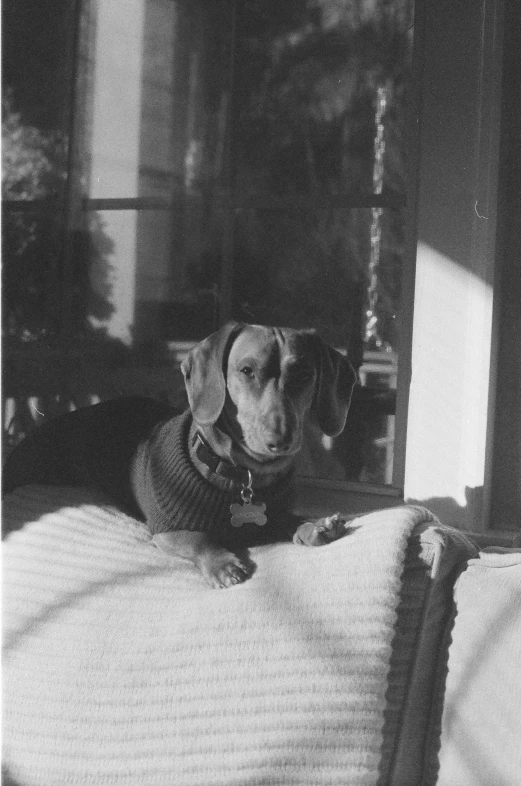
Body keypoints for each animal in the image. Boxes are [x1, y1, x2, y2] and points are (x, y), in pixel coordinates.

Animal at [2, 322, 356, 584]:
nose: (280, 440)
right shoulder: (167, 530)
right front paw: (223, 563)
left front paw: (315, 525)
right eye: (246, 370)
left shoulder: (271, 514)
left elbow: (287, 518)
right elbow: (200, 539)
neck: (241, 476)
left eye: (305, 375)